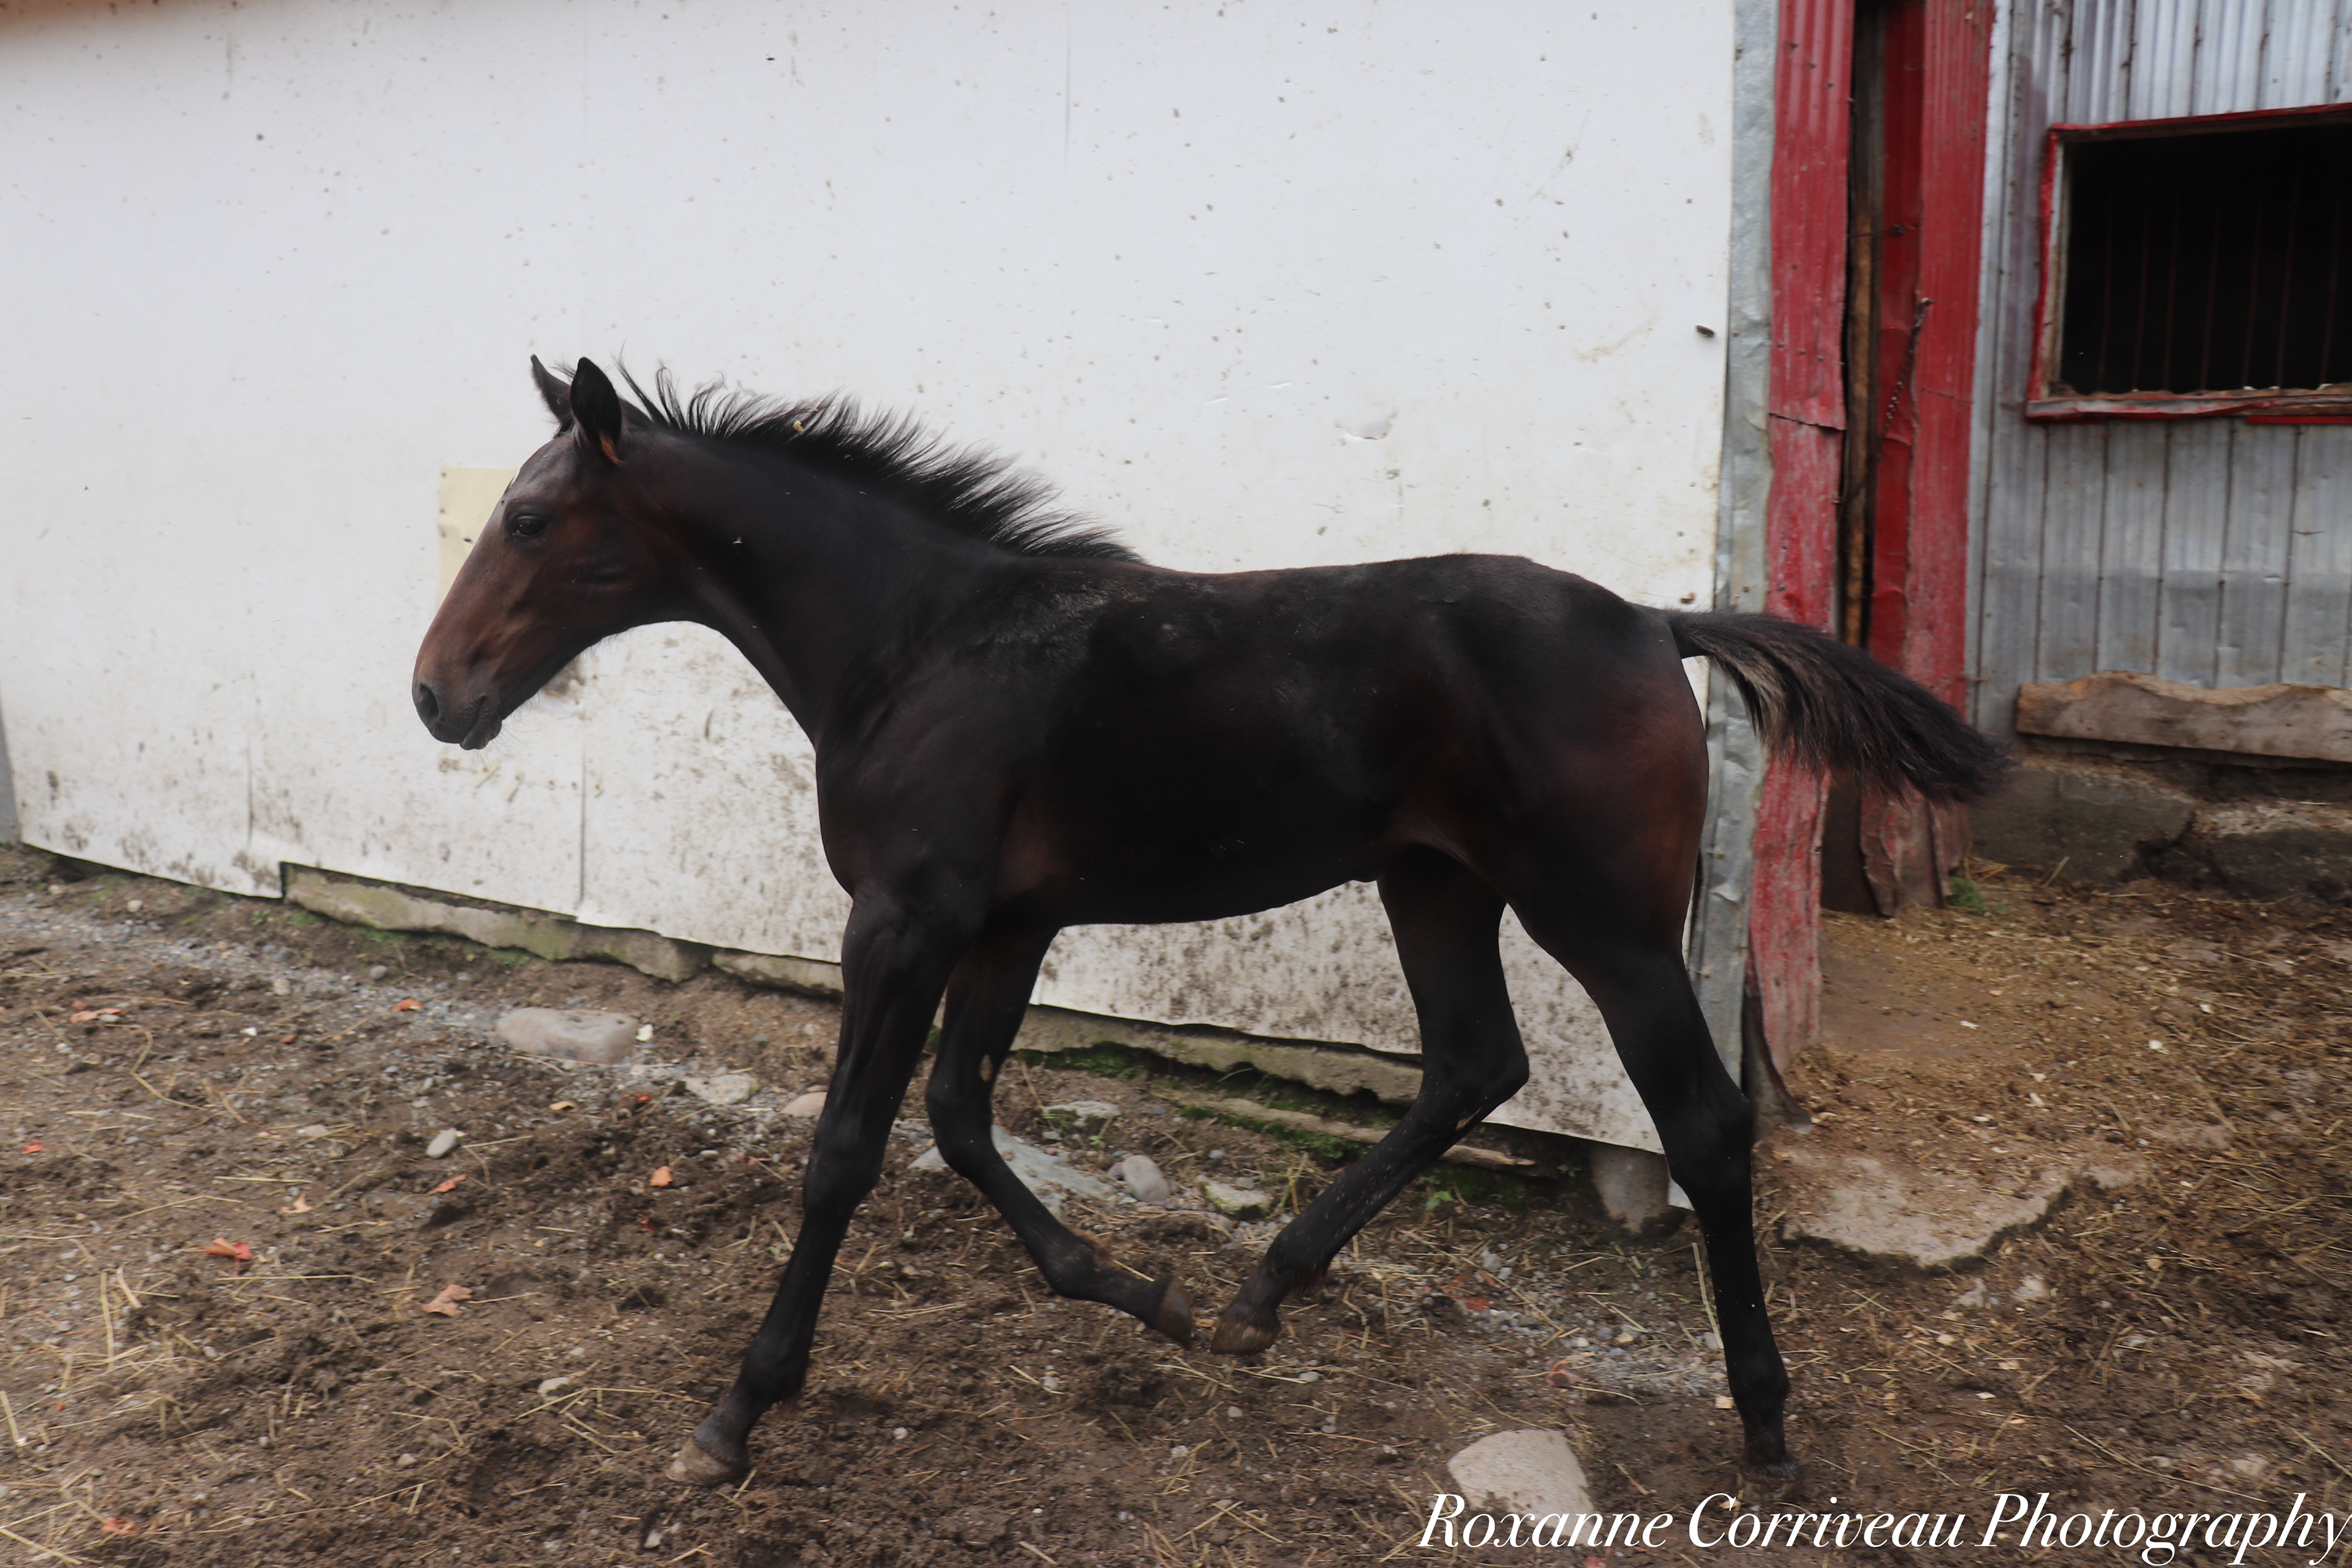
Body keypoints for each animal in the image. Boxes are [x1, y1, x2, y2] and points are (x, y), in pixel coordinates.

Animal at [411, 356, 2007, 1488]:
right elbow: (961, 1114)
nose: (436, 694)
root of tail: (1654, 619)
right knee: (1472, 1065)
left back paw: (1765, 1424)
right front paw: (1141, 1294)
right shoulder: (1005, 924)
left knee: (1704, 1124)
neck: (921, 648)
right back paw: (1258, 1295)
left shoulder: (903, 921)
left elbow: (848, 1148)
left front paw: (738, 1408)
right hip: (1434, 882)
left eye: (531, 518)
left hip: (1603, 919)